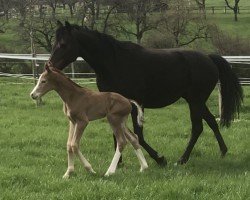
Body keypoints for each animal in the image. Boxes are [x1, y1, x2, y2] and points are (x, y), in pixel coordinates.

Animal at [48, 21, 242, 166]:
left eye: (63, 44)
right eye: (54, 43)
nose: (50, 66)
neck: (114, 62)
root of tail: (209, 58)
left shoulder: (135, 105)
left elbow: (138, 135)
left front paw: (160, 159)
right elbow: (117, 133)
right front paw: (119, 162)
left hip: (195, 101)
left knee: (197, 128)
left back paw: (182, 159)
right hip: (196, 101)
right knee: (211, 122)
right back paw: (223, 151)